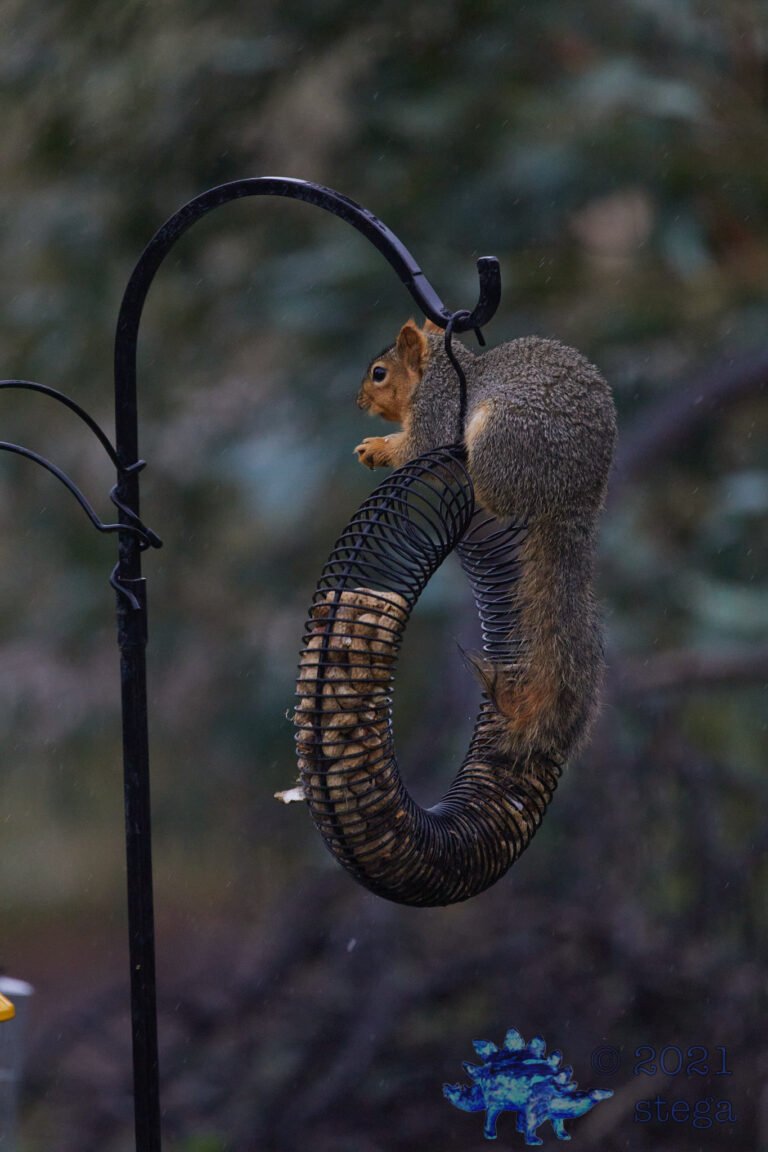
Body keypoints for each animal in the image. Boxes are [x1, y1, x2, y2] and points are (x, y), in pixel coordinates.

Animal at [354, 318, 617, 766]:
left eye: (379, 373)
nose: (358, 401)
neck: (443, 371)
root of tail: (575, 495)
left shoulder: (438, 410)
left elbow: (420, 445)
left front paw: (378, 447)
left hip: (501, 439)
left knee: (491, 492)